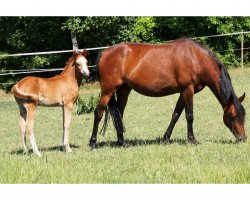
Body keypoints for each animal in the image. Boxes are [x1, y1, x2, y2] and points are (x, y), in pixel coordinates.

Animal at [90, 38, 246, 148]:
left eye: (244, 115)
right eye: (232, 115)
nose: (242, 138)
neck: (195, 58)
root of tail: (105, 52)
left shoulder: (184, 92)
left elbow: (176, 115)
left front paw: (166, 138)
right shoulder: (188, 89)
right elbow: (189, 115)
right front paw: (192, 140)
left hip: (124, 90)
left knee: (119, 114)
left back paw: (122, 142)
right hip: (108, 91)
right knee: (98, 112)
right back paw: (93, 142)